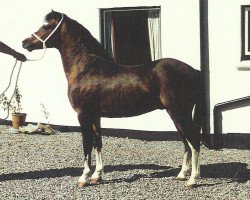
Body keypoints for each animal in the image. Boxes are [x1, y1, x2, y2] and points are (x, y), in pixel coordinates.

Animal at [23, 10, 207, 189]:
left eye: (46, 26)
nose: (25, 43)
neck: (86, 69)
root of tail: (195, 71)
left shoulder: (83, 115)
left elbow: (86, 145)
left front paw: (84, 178)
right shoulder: (95, 116)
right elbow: (98, 143)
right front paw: (97, 176)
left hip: (179, 113)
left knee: (193, 141)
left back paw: (192, 180)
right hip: (175, 115)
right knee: (186, 143)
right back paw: (182, 175)